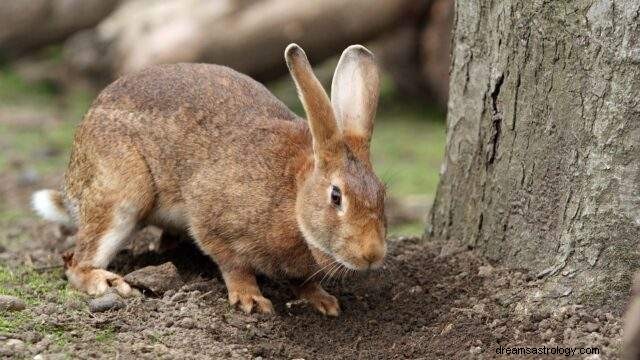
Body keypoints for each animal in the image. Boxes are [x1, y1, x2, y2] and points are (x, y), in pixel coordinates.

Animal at [31, 43, 384, 316]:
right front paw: (251, 300)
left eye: (382, 193)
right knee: (76, 263)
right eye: (336, 196)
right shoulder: (212, 219)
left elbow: (303, 281)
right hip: (122, 194)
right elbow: (233, 264)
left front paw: (324, 302)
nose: (373, 254)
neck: (294, 194)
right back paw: (107, 282)